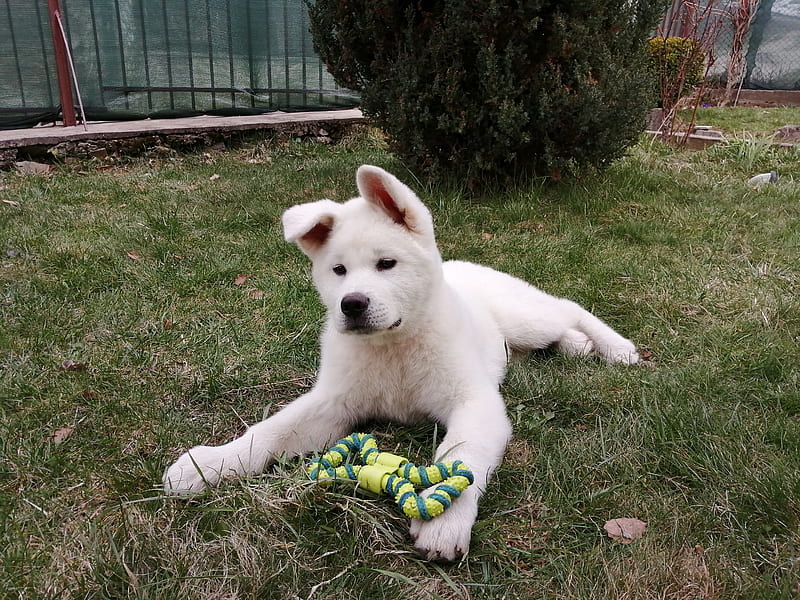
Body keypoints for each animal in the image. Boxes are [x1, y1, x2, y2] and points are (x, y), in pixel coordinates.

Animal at [164, 163, 636, 556]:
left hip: (526, 319)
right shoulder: (332, 403)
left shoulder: (475, 403)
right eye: (338, 271)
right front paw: (208, 465)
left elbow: (461, 454)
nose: (352, 304)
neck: (393, 347)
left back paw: (616, 348)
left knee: (567, 308)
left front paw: (445, 519)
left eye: (386, 264)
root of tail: (470, 265)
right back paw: (577, 346)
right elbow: (269, 431)